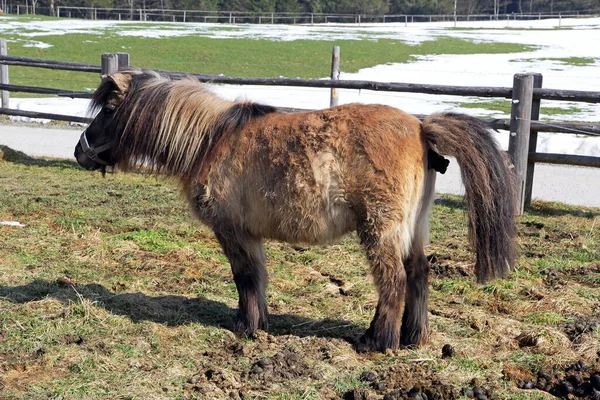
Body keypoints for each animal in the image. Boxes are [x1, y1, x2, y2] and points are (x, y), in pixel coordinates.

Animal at [74, 69, 516, 354]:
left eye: (108, 110)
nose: (80, 151)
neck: (210, 141)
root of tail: (421, 128)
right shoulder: (248, 234)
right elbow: (256, 278)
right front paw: (259, 323)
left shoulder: (232, 232)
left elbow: (245, 278)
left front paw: (246, 328)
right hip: (413, 227)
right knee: (419, 274)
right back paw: (411, 337)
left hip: (380, 228)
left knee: (393, 280)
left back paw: (377, 342)